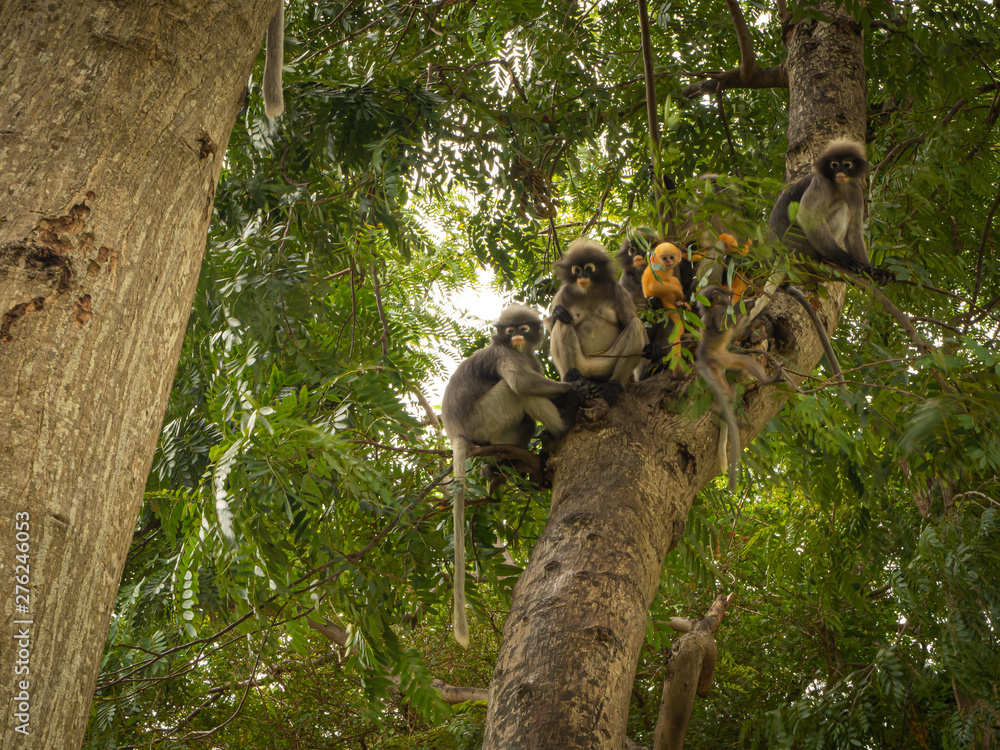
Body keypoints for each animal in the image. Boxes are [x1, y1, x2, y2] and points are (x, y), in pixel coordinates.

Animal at [441, 304, 586, 647]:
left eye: (522, 328)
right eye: (509, 331)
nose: (517, 336)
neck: (515, 349)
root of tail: (455, 431)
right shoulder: (501, 354)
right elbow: (520, 380)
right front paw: (573, 387)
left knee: (524, 421)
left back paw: (500, 465)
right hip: (484, 418)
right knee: (514, 390)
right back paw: (563, 423)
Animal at [549, 239, 648, 403]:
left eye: (588, 268)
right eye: (576, 270)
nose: (582, 276)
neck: (589, 289)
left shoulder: (617, 290)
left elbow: (630, 321)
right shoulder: (563, 294)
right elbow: (554, 323)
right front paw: (558, 312)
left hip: (608, 363)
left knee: (635, 325)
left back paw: (615, 384)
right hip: (581, 365)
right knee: (563, 321)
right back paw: (571, 375)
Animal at [695, 285, 783, 491]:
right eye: (727, 295)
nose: (731, 297)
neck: (711, 308)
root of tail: (704, 358)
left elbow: (734, 329)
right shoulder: (718, 313)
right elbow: (724, 326)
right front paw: (747, 304)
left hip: (718, 369)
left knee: (726, 390)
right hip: (722, 359)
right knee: (745, 361)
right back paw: (766, 381)